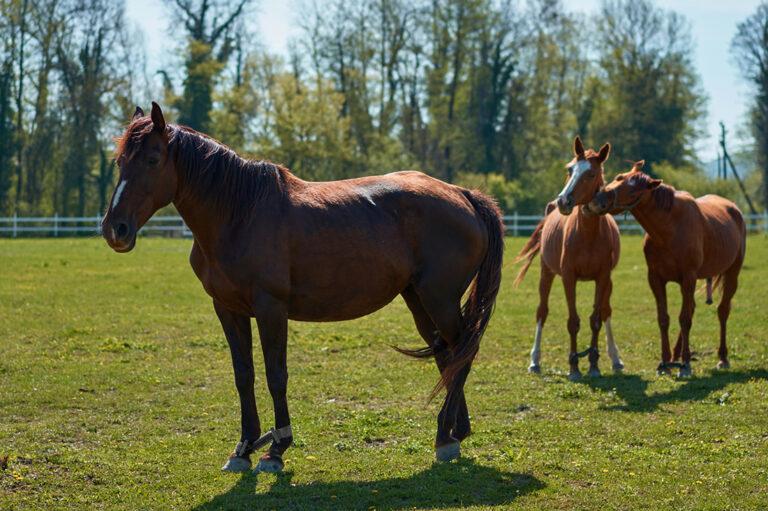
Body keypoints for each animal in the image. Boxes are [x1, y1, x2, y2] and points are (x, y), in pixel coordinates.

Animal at [101, 102, 504, 472]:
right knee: (448, 355)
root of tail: (462, 194)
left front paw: (276, 449)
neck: (239, 213)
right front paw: (244, 447)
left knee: (463, 351)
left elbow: (275, 376)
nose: (115, 229)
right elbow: (243, 375)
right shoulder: (228, 309)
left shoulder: (271, 309)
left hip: (440, 299)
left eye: (153, 159)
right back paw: (454, 433)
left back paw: (443, 435)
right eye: (120, 161)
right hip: (419, 299)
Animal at [514, 137, 624, 381]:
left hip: (609, 282)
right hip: (546, 273)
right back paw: (534, 361)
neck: (588, 234)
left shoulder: (603, 277)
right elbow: (573, 322)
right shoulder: (568, 277)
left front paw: (594, 365)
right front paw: (574, 367)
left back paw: (615, 359)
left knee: (606, 311)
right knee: (542, 312)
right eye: (570, 169)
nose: (564, 201)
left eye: (591, 173)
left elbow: (596, 319)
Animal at [588, 160, 746, 377]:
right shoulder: (656, 279)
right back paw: (676, 355)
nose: (598, 200)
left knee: (722, 311)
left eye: (634, 191)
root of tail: (734, 209)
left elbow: (685, 319)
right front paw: (664, 362)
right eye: (619, 177)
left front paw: (685, 365)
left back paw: (722, 358)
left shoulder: (688, 277)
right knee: (693, 309)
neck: (669, 228)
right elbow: (664, 319)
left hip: (732, 274)